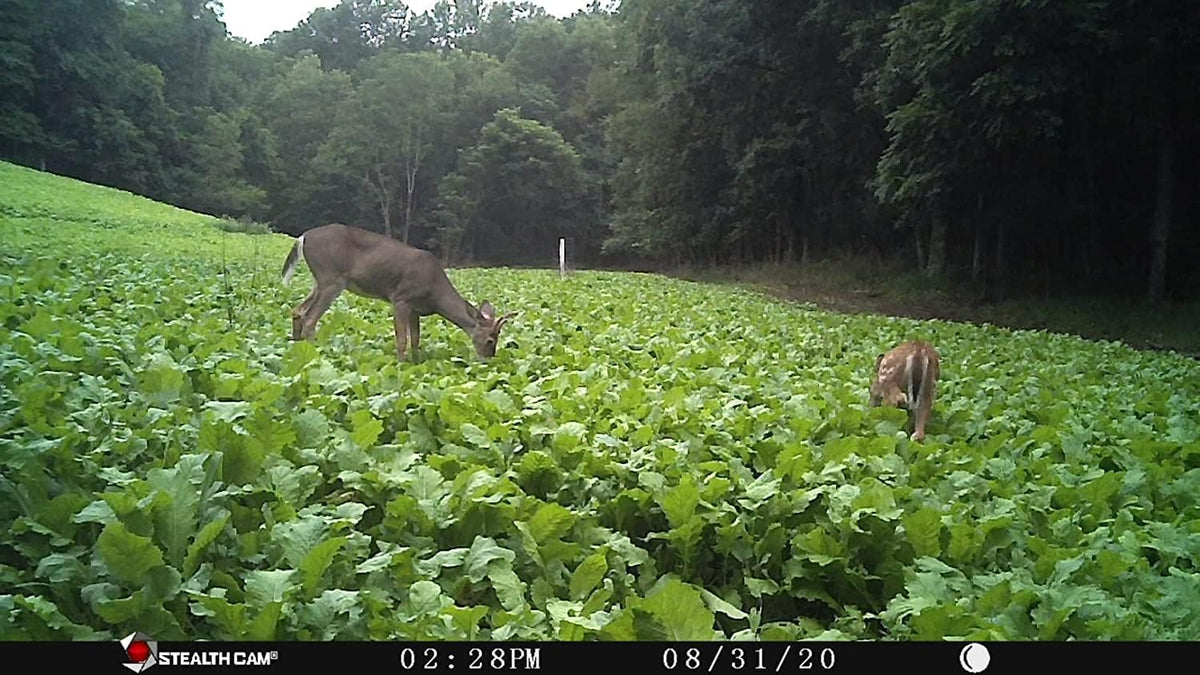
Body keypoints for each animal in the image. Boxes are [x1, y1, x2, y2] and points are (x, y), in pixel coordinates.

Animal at [280, 223, 515, 362]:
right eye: (490, 340)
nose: (489, 359)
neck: (435, 294)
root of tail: (302, 237)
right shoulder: (401, 298)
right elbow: (402, 339)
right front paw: (401, 365)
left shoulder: (416, 309)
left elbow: (416, 340)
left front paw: (415, 363)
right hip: (332, 278)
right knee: (310, 319)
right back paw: (315, 355)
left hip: (320, 281)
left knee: (297, 311)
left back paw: (296, 349)